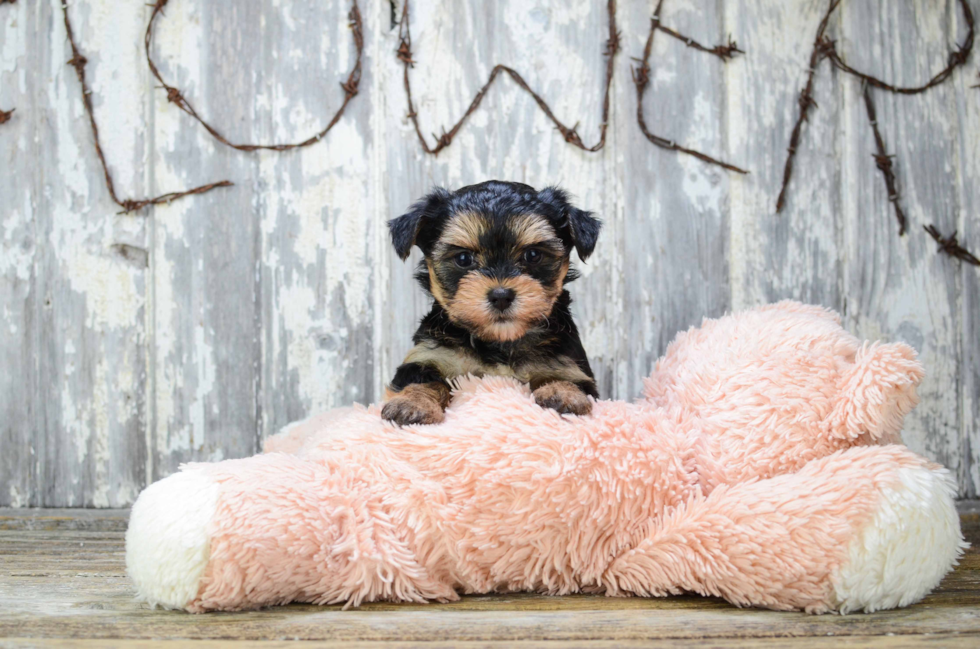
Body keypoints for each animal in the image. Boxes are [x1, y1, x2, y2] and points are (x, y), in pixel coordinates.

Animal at [380, 181, 596, 426]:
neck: (497, 341)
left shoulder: (567, 363)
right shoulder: (428, 355)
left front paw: (563, 394)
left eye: (533, 255)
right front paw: (413, 403)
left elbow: (569, 379)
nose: (501, 296)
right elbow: (422, 380)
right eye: (463, 259)